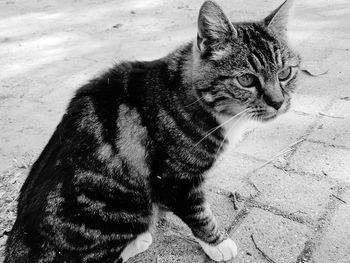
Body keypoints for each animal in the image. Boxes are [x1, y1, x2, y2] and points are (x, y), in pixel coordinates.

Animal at [3, 0, 298, 262]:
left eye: (285, 73)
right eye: (246, 79)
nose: (278, 102)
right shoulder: (175, 179)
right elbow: (199, 213)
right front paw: (218, 244)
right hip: (126, 206)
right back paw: (139, 240)